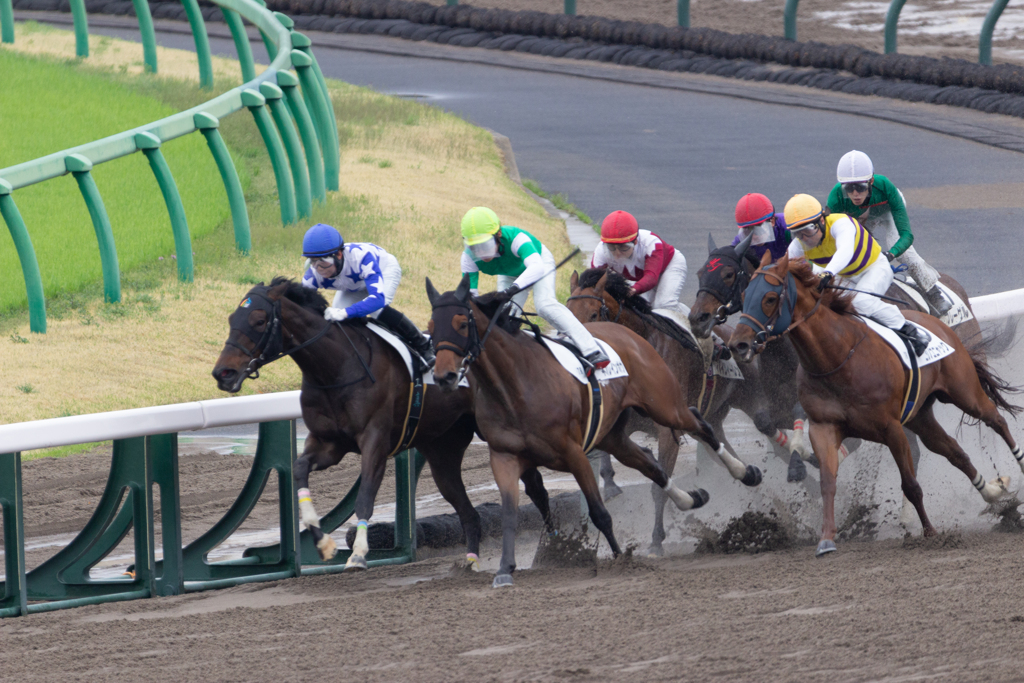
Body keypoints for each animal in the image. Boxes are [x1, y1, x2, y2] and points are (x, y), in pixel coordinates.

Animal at [211, 278, 557, 573]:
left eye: (258, 320)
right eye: (231, 318)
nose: (223, 373)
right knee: (468, 512)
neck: (336, 368)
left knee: (535, 488)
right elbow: (298, 471)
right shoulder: (328, 443)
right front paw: (323, 544)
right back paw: (470, 561)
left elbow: (365, 496)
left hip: (505, 433)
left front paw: (358, 554)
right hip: (443, 450)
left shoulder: (375, 441)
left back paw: (552, 544)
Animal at [425, 276, 761, 589]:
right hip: (615, 435)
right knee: (652, 465)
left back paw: (746, 473)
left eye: (461, 322)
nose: (444, 375)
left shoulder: (575, 452)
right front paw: (505, 570)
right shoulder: (505, 457)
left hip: (667, 408)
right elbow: (510, 513)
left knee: (701, 425)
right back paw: (693, 498)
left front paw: (622, 556)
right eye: (430, 326)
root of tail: (632, 338)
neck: (513, 385)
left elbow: (600, 512)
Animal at [569, 266, 782, 557]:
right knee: (725, 449)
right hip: (713, 418)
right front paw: (610, 485)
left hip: (749, 396)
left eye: (592, 314)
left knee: (769, 427)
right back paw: (756, 489)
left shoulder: (668, 429)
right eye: (566, 313)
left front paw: (656, 541)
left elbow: (659, 486)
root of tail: (734, 333)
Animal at [729, 253, 1024, 557]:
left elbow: (911, 484)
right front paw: (826, 539)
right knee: (955, 452)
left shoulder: (891, 428)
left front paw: (929, 532)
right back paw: (993, 492)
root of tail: (935, 320)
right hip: (920, 417)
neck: (837, 357)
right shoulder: (823, 427)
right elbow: (827, 482)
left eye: (769, 298)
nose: (738, 344)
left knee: (996, 420)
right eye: (744, 294)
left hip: (964, 391)